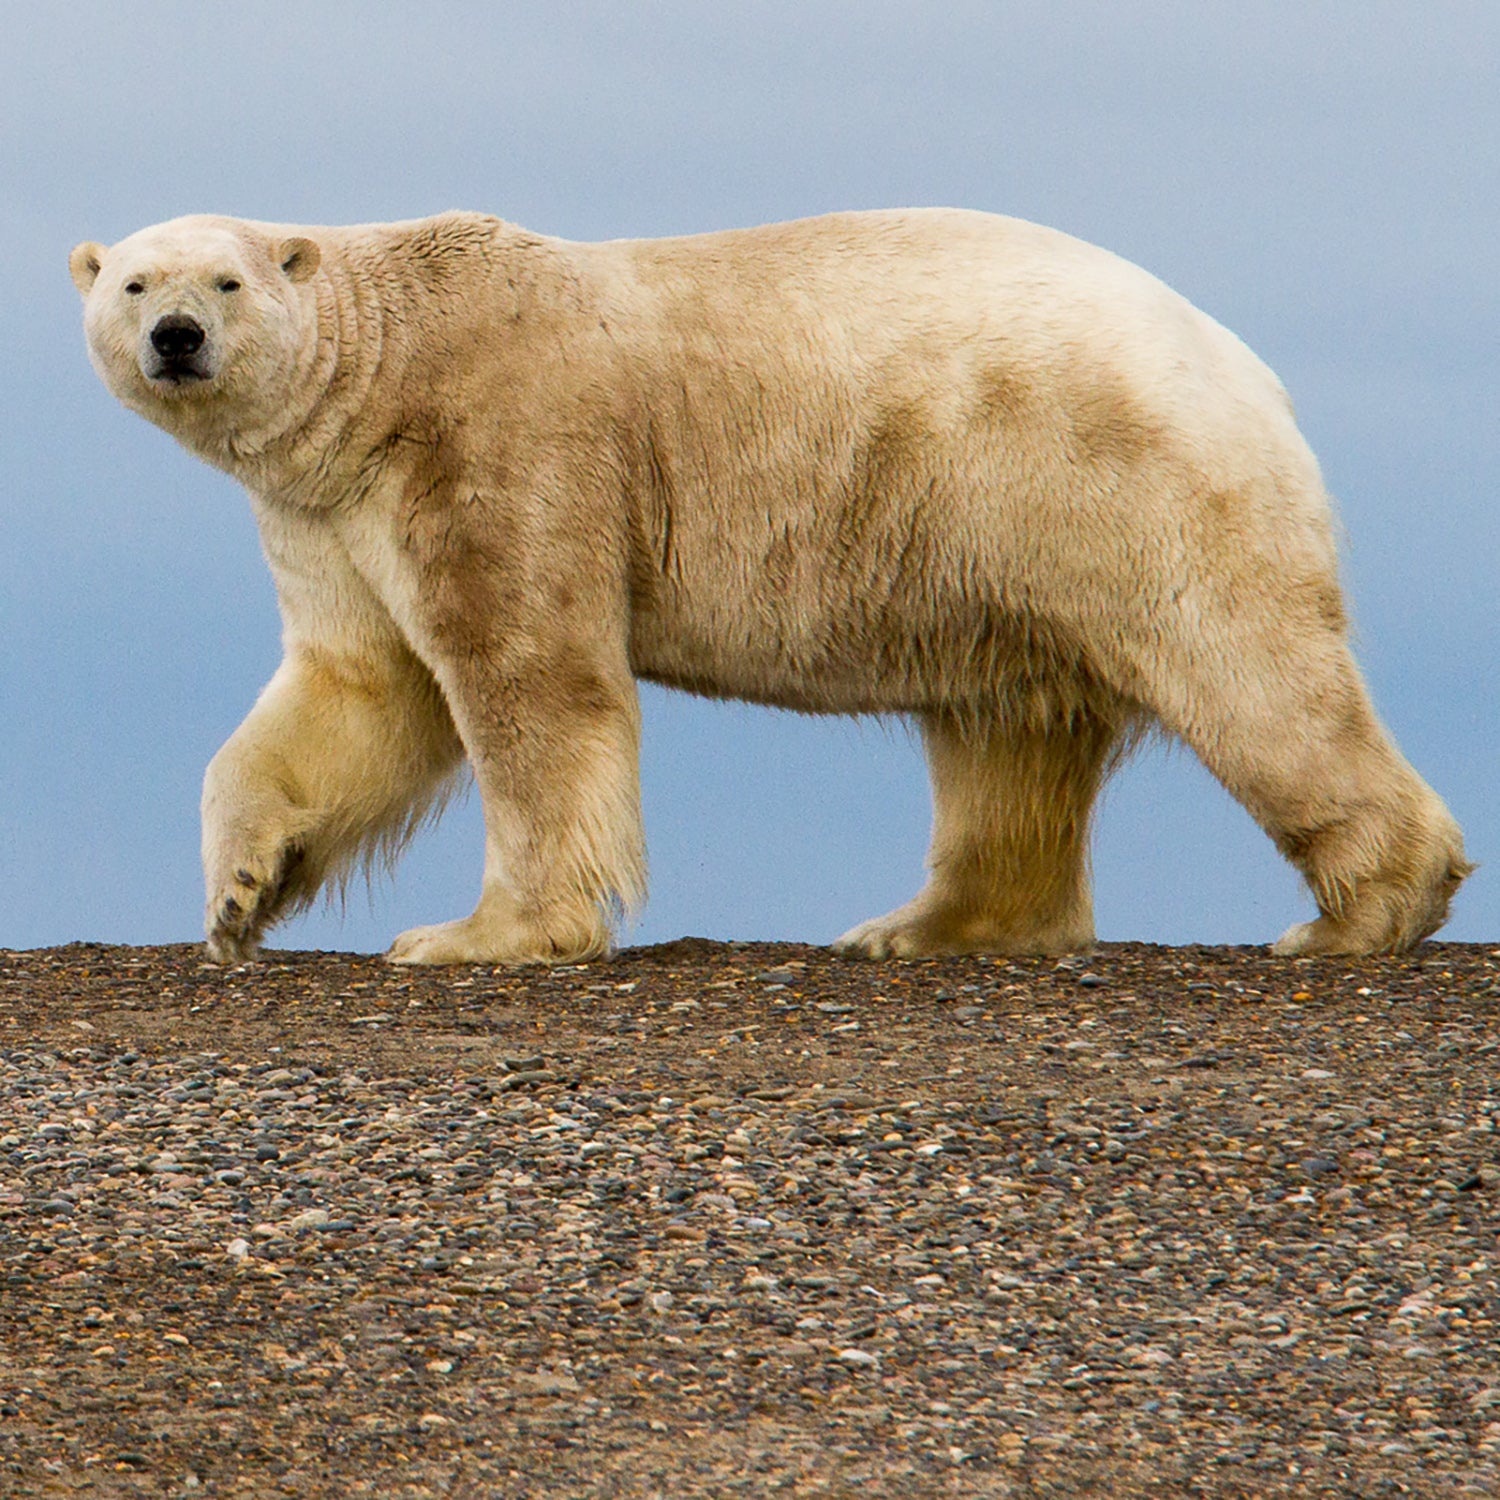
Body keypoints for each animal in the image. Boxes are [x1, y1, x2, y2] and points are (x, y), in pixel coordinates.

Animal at [67, 208, 1464, 960]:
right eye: (134, 279)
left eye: (226, 278)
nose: (176, 338)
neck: (386, 371)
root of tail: (1248, 367)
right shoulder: (334, 513)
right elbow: (364, 689)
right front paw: (240, 896)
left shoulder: (505, 440)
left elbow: (528, 682)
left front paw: (478, 934)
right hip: (1005, 536)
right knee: (1007, 731)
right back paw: (928, 922)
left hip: (1119, 486)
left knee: (1249, 675)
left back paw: (1361, 912)